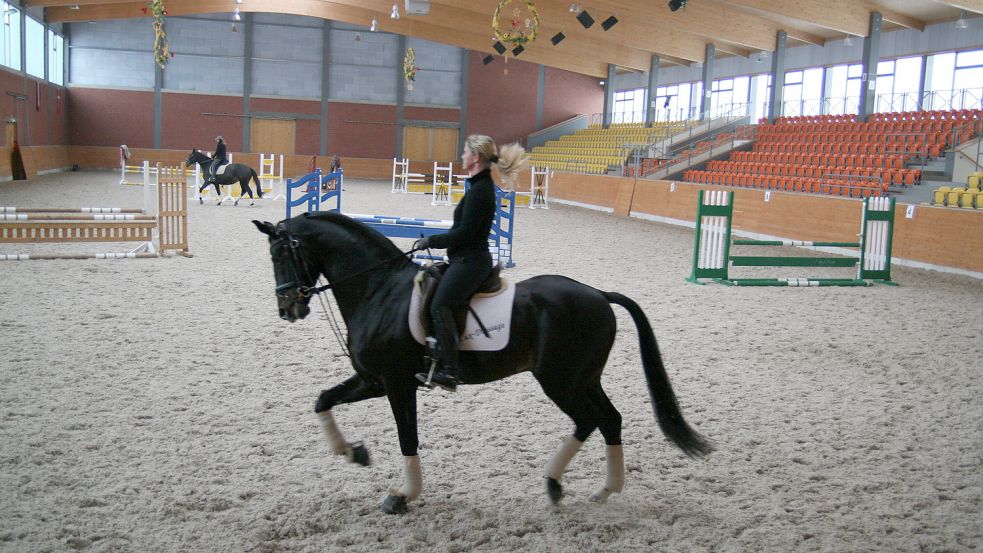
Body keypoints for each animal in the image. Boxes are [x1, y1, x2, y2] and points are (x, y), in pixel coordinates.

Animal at [254, 210, 716, 512]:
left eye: (280, 254)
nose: (287, 309)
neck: (377, 289)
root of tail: (599, 295)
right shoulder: (372, 379)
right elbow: (323, 400)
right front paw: (354, 453)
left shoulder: (397, 382)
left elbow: (407, 437)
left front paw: (402, 496)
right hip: (583, 378)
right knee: (608, 419)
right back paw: (601, 490)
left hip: (560, 379)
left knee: (590, 420)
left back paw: (559, 485)